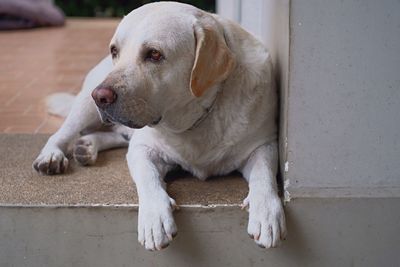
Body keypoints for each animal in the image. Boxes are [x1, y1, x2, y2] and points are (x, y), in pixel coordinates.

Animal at [32, 1, 286, 251]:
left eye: (154, 54)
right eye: (115, 51)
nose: (100, 97)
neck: (198, 116)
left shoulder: (263, 144)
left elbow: (263, 175)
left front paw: (267, 213)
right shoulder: (143, 148)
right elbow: (148, 177)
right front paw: (154, 219)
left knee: (117, 136)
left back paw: (86, 147)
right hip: (85, 105)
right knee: (62, 133)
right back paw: (52, 156)